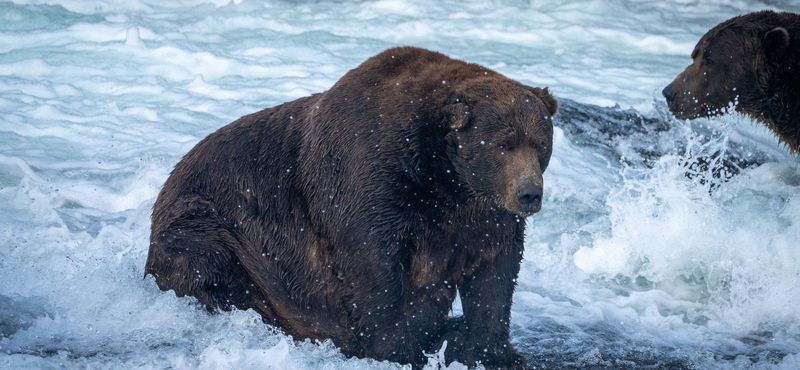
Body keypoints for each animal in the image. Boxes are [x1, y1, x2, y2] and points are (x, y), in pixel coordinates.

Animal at [144, 47, 556, 370]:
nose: (530, 194)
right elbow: (372, 267)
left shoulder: (484, 217)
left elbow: (495, 275)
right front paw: (402, 345)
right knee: (211, 259)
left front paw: (493, 350)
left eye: (540, 143)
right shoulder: (371, 178)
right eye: (503, 144)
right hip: (208, 218)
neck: (444, 180)